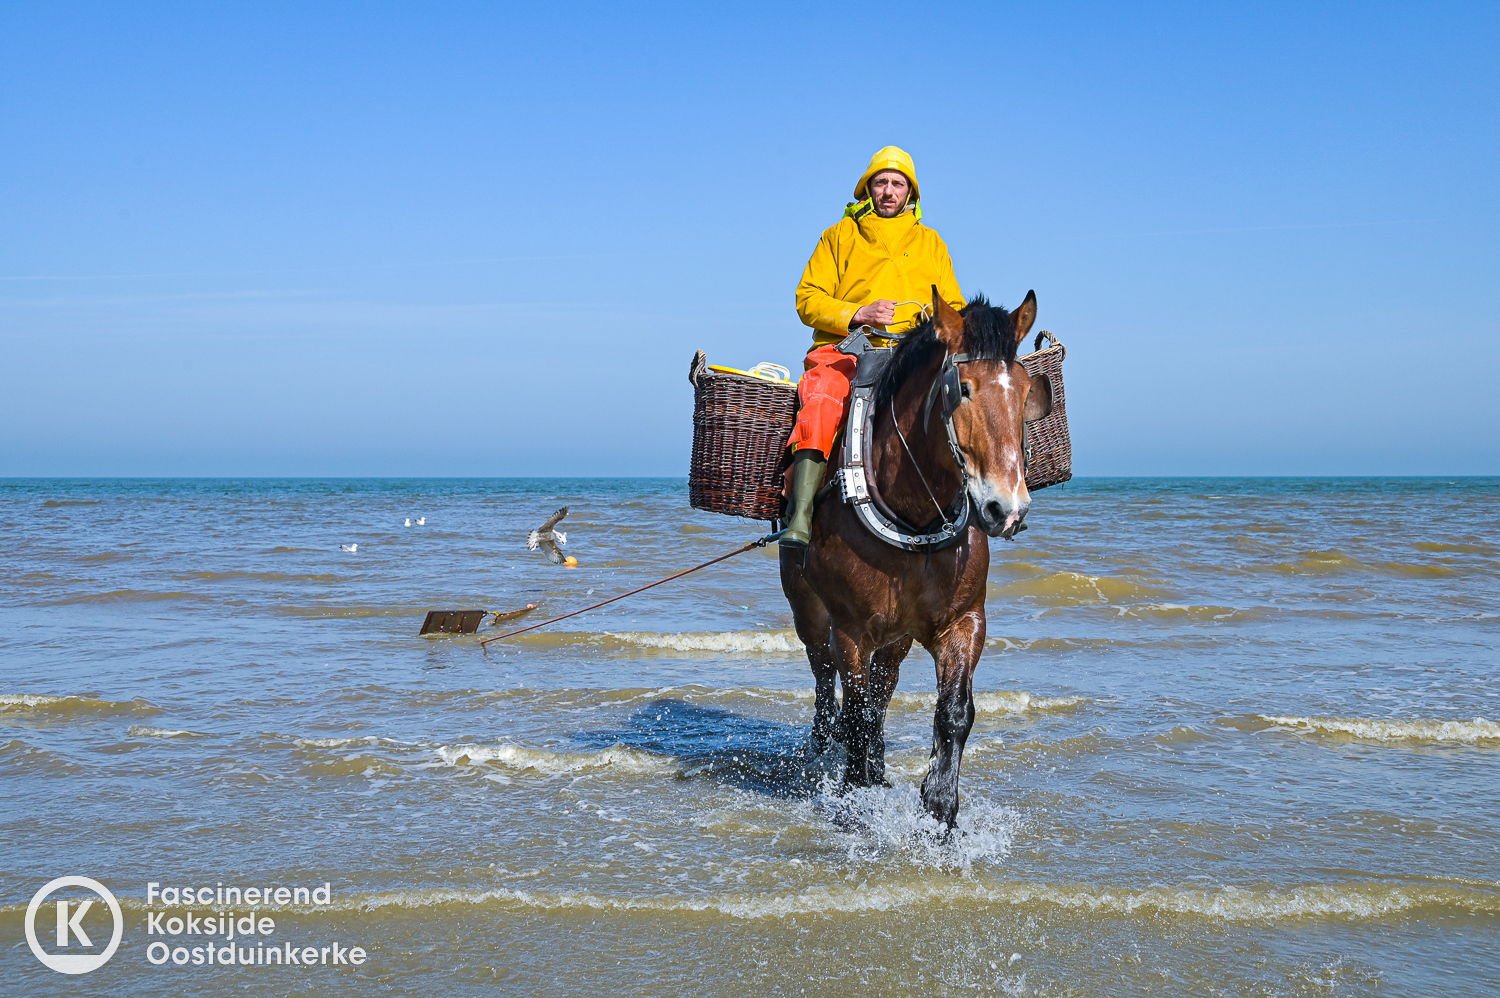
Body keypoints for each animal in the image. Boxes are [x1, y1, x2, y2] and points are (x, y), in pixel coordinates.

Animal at [780, 286, 1050, 822]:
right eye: (962, 388)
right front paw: (855, 798)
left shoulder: (963, 621)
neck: (913, 516)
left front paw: (940, 809)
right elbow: (855, 715)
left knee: (882, 693)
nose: (1006, 509)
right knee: (825, 682)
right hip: (809, 612)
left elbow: (953, 713)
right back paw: (823, 748)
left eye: (1025, 390)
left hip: (897, 636)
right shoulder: (851, 631)